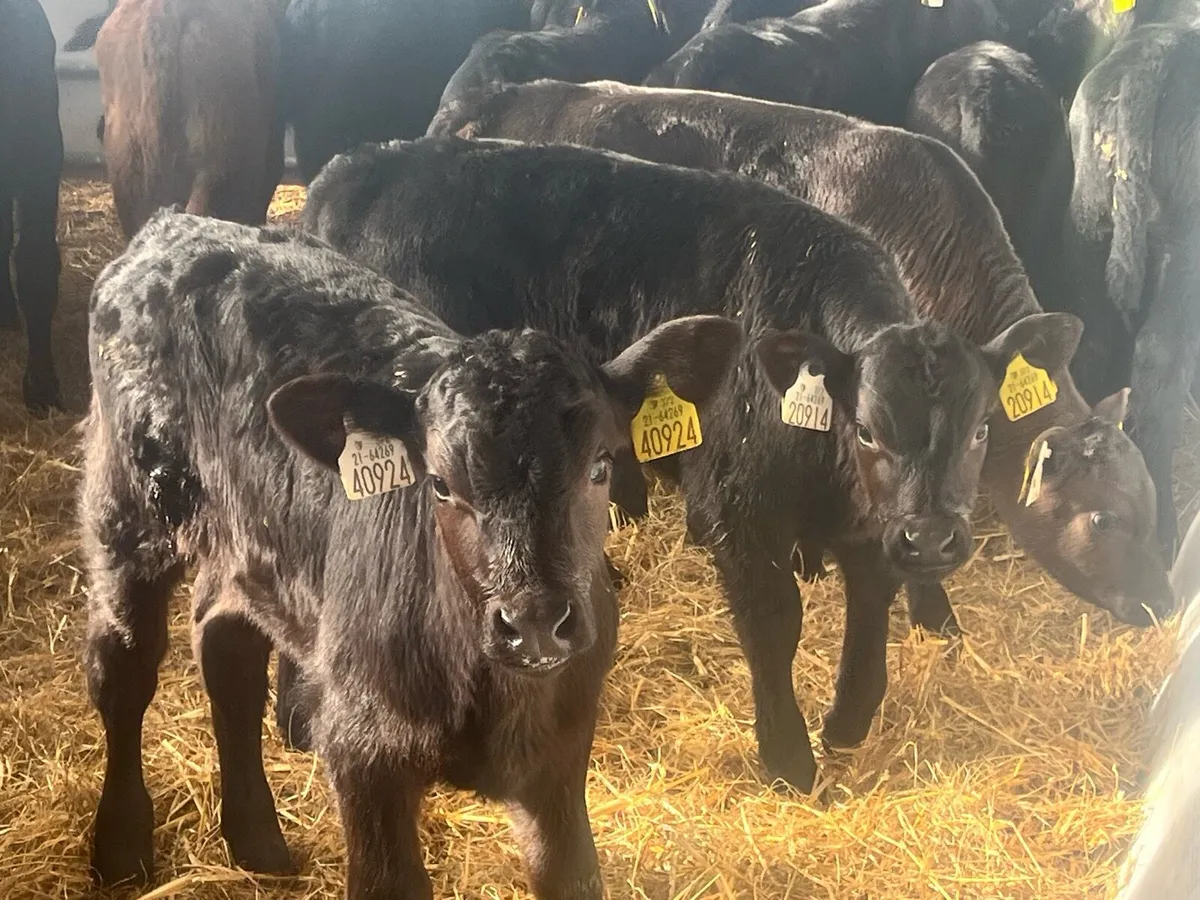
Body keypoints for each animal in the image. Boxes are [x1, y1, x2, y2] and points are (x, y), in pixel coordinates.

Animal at [80, 209, 742, 894]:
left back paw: (255, 839)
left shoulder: (559, 759)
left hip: (248, 545)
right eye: (441, 484)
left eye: (601, 467)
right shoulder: (363, 754)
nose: (534, 622)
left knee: (224, 643)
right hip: (126, 510)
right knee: (123, 664)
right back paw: (121, 846)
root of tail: (172, 227)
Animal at [296, 135, 1077, 792]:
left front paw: (850, 718)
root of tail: (358, 165)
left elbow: (870, 603)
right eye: (865, 429)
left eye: (981, 429)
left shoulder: (868, 526)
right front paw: (788, 757)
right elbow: (774, 622)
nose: (934, 539)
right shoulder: (735, 507)